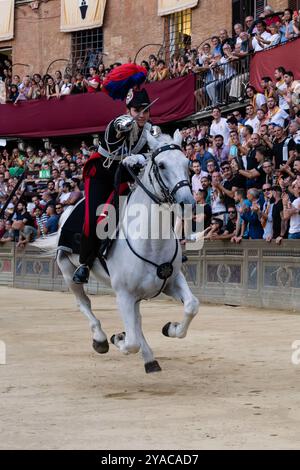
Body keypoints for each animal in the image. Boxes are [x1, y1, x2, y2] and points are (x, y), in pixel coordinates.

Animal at [34, 132, 199, 374]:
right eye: (161, 165)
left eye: (187, 163)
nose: (187, 203)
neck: (151, 239)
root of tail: (68, 210)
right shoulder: (123, 294)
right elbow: (131, 342)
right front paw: (118, 338)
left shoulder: (171, 280)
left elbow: (191, 306)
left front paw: (171, 328)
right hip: (68, 271)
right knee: (84, 303)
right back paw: (101, 339)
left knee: (137, 320)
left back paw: (149, 359)